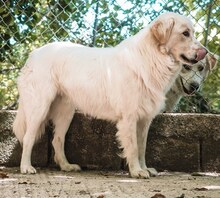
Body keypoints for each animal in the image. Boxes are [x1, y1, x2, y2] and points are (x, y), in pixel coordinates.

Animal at [13, 12, 206, 178]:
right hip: (39, 107)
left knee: (57, 140)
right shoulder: (129, 117)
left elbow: (142, 147)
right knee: (28, 137)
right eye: (185, 33)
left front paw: (144, 169)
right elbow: (133, 148)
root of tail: (33, 54)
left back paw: (66, 166)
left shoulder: (144, 120)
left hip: (65, 113)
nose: (205, 52)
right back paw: (26, 167)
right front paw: (137, 171)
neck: (152, 57)